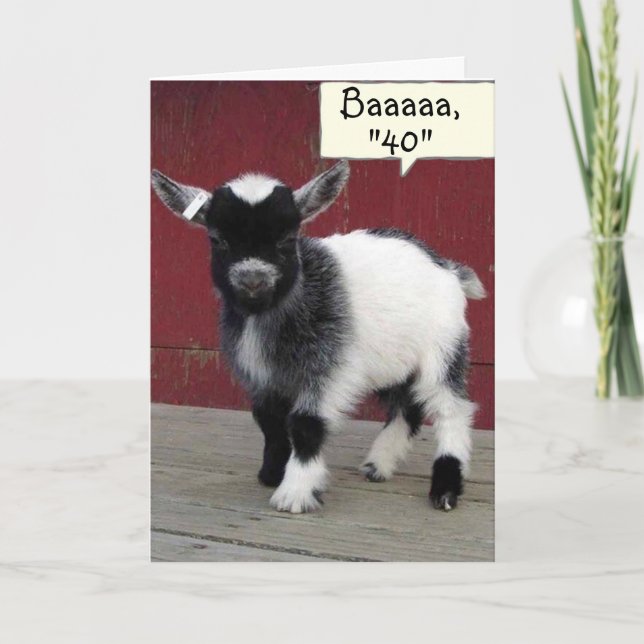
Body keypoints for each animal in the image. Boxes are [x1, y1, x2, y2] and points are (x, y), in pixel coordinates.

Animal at [151, 160, 485, 514]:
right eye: (218, 240)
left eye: (287, 239)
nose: (253, 281)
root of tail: (448, 268)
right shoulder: (264, 378)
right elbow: (269, 421)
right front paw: (272, 472)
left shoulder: (330, 367)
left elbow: (305, 423)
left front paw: (294, 493)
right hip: (393, 359)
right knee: (405, 408)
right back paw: (378, 465)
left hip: (444, 348)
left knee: (451, 409)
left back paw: (445, 489)